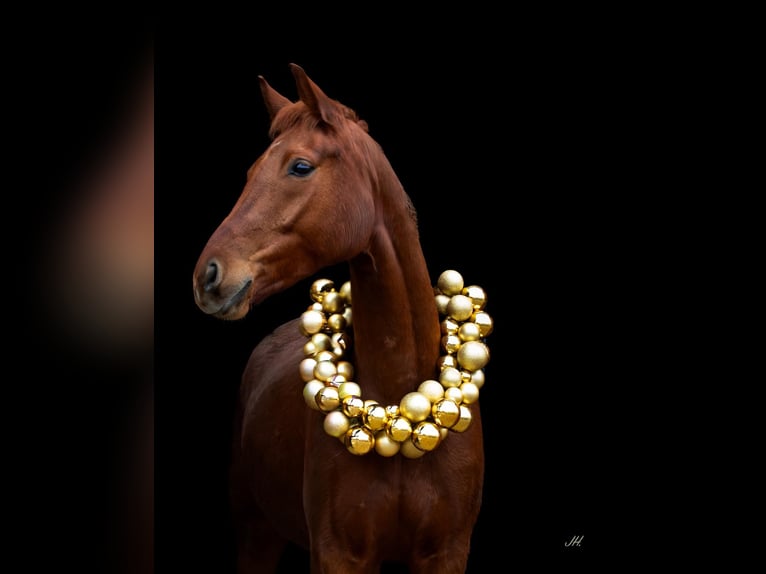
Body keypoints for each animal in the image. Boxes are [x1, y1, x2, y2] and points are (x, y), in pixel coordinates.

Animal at [192, 63, 492, 573]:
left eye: (299, 166)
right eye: (250, 171)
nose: (207, 275)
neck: (399, 397)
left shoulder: (448, 552)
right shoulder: (337, 553)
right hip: (256, 534)